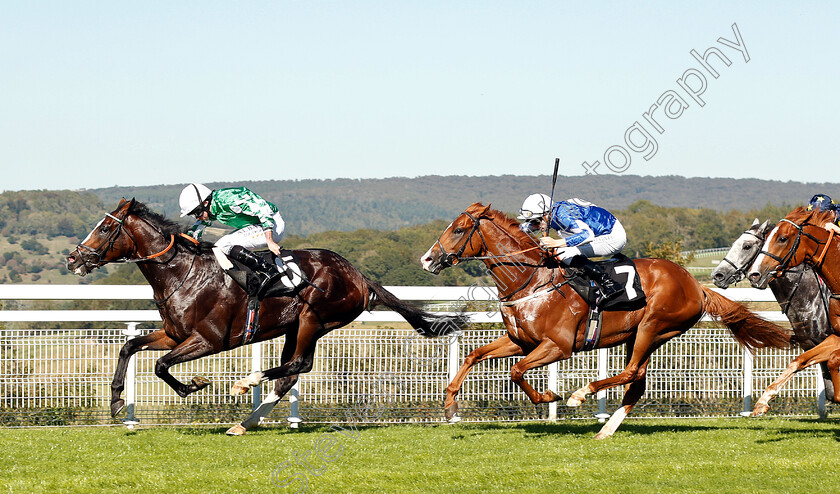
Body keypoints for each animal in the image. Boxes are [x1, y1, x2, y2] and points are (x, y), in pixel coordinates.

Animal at [68, 199, 470, 434]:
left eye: (106, 227)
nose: (74, 258)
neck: (182, 272)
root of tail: (359, 275)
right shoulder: (175, 334)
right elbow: (130, 347)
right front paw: (116, 401)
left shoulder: (209, 340)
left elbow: (161, 365)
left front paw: (192, 386)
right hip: (295, 326)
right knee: (290, 373)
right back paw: (246, 422)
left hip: (313, 319)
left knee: (299, 365)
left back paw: (247, 383)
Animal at [424, 203, 792, 438]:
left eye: (458, 229)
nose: (427, 259)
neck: (533, 281)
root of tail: (696, 285)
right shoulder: (521, 341)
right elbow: (473, 355)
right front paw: (449, 405)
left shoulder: (557, 346)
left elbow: (516, 371)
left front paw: (550, 397)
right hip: (644, 334)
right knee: (637, 381)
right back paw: (606, 430)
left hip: (652, 326)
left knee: (630, 373)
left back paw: (581, 394)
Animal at [748, 206, 840, 414]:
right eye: (765, 238)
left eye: (782, 238)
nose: (754, 274)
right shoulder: (833, 336)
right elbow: (800, 360)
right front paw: (762, 402)